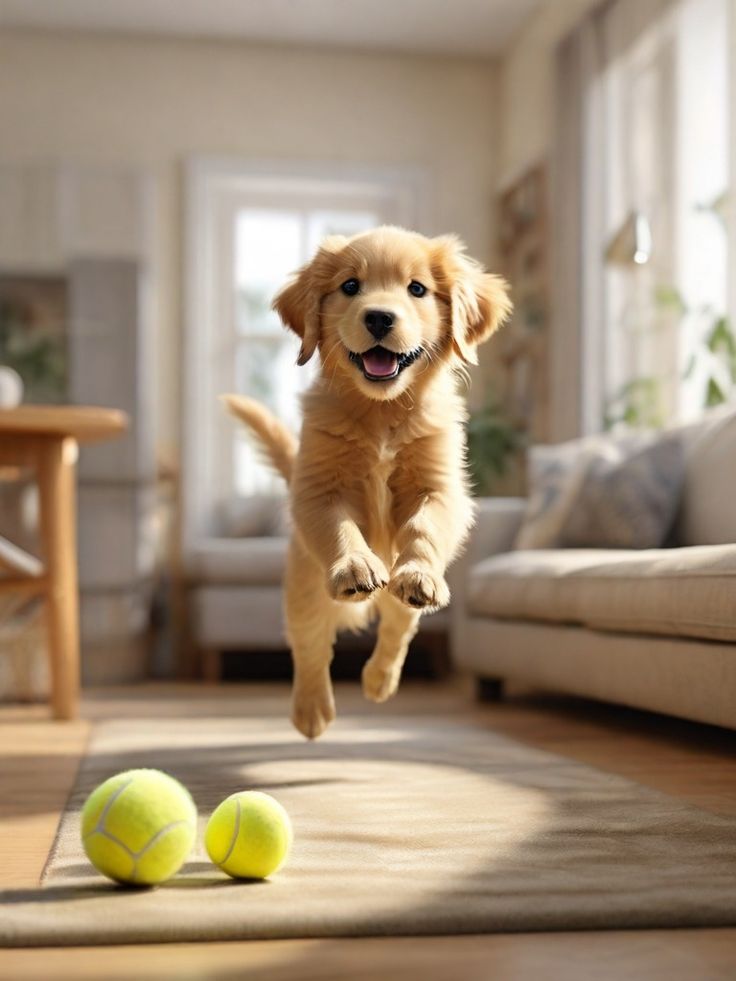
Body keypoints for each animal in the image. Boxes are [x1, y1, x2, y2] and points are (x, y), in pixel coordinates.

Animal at [227, 226, 508, 740]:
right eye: (350, 286)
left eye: (416, 289)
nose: (379, 316)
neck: (382, 412)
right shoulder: (318, 490)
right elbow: (341, 531)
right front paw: (356, 566)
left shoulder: (441, 486)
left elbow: (424, 528)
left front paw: (417, 571)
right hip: (303, 585)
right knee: (310, 644)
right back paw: (311, 711)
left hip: (400, 607)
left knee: (398, 627)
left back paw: (380, 679)